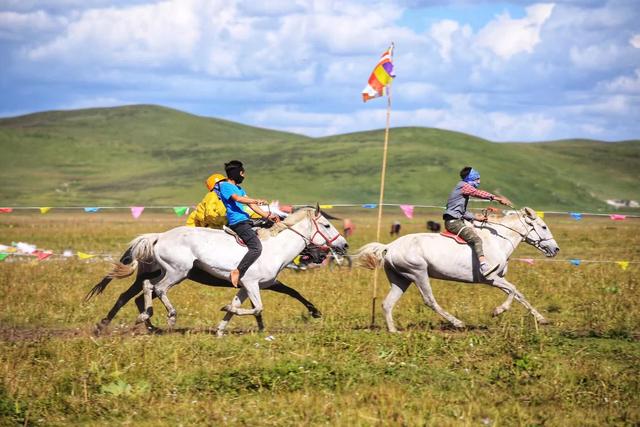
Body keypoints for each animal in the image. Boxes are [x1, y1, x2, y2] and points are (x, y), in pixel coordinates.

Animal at [117, 206, 348, 336]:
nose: (344, 245)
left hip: (169, 272)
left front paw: (221, 329)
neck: (275, 249)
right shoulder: (252, 284)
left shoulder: (246, 287)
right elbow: (258, 308)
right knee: (158, 289)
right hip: (177, 272)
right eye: (327, 225)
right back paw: (170, 317)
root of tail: (160, 236)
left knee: (148, 286)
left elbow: (241, 306)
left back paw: (145, 317)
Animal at [356, 209, 560, 332]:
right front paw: (497, 311)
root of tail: (389, 246)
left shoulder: (498, 280)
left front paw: (542, 320)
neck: (498, 241)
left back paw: (393, 331)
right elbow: (513, 290)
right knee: (429, 300)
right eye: (543, 226)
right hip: (418, 273)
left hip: (401, 279)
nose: (555, 249)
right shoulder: (490, 278)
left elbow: (519, 295)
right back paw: (458, 323)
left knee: (387, 304)